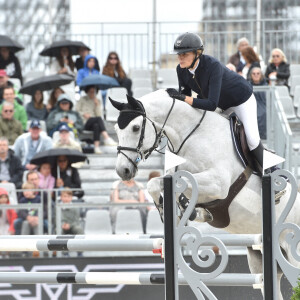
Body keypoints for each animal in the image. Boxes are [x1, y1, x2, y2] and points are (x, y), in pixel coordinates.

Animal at [109, 88, 300, 298]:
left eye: (135, 128)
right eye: (116, 130)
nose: (123, 171)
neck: (191, 135)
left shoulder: (218, 183)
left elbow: (183, 183)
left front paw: (187, 208)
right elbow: (156, 183)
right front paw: (174, 210)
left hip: (292, 251)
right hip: (261, 257)